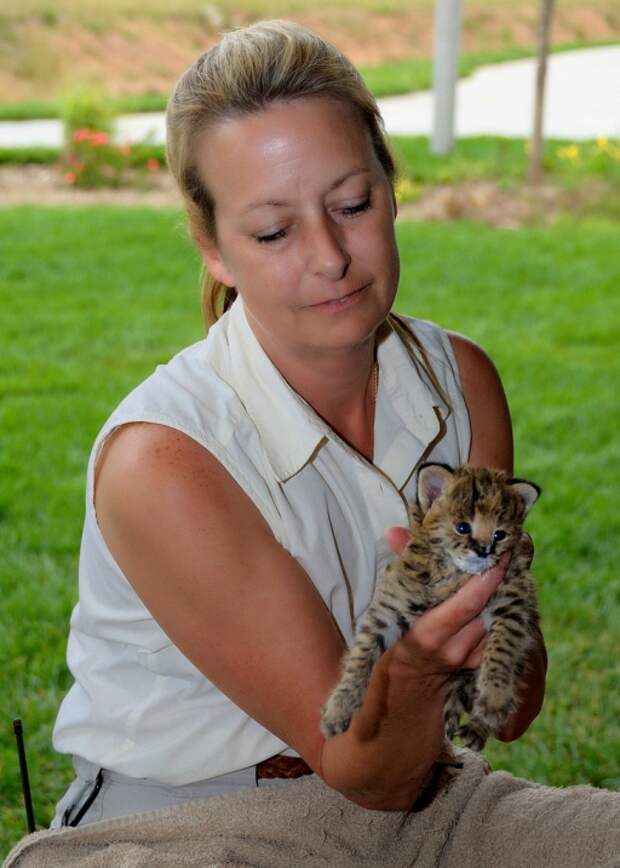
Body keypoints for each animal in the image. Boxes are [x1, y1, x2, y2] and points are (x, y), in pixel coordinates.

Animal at [322, 464, 540, 748]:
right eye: (462, 527)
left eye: (499, 534)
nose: (484, 550)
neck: (455, 573)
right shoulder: (391, 606)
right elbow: (362, 652)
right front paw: (340, 705)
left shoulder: (513, 603)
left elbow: (502, 649)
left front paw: (493, 697)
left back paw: (478, 726)